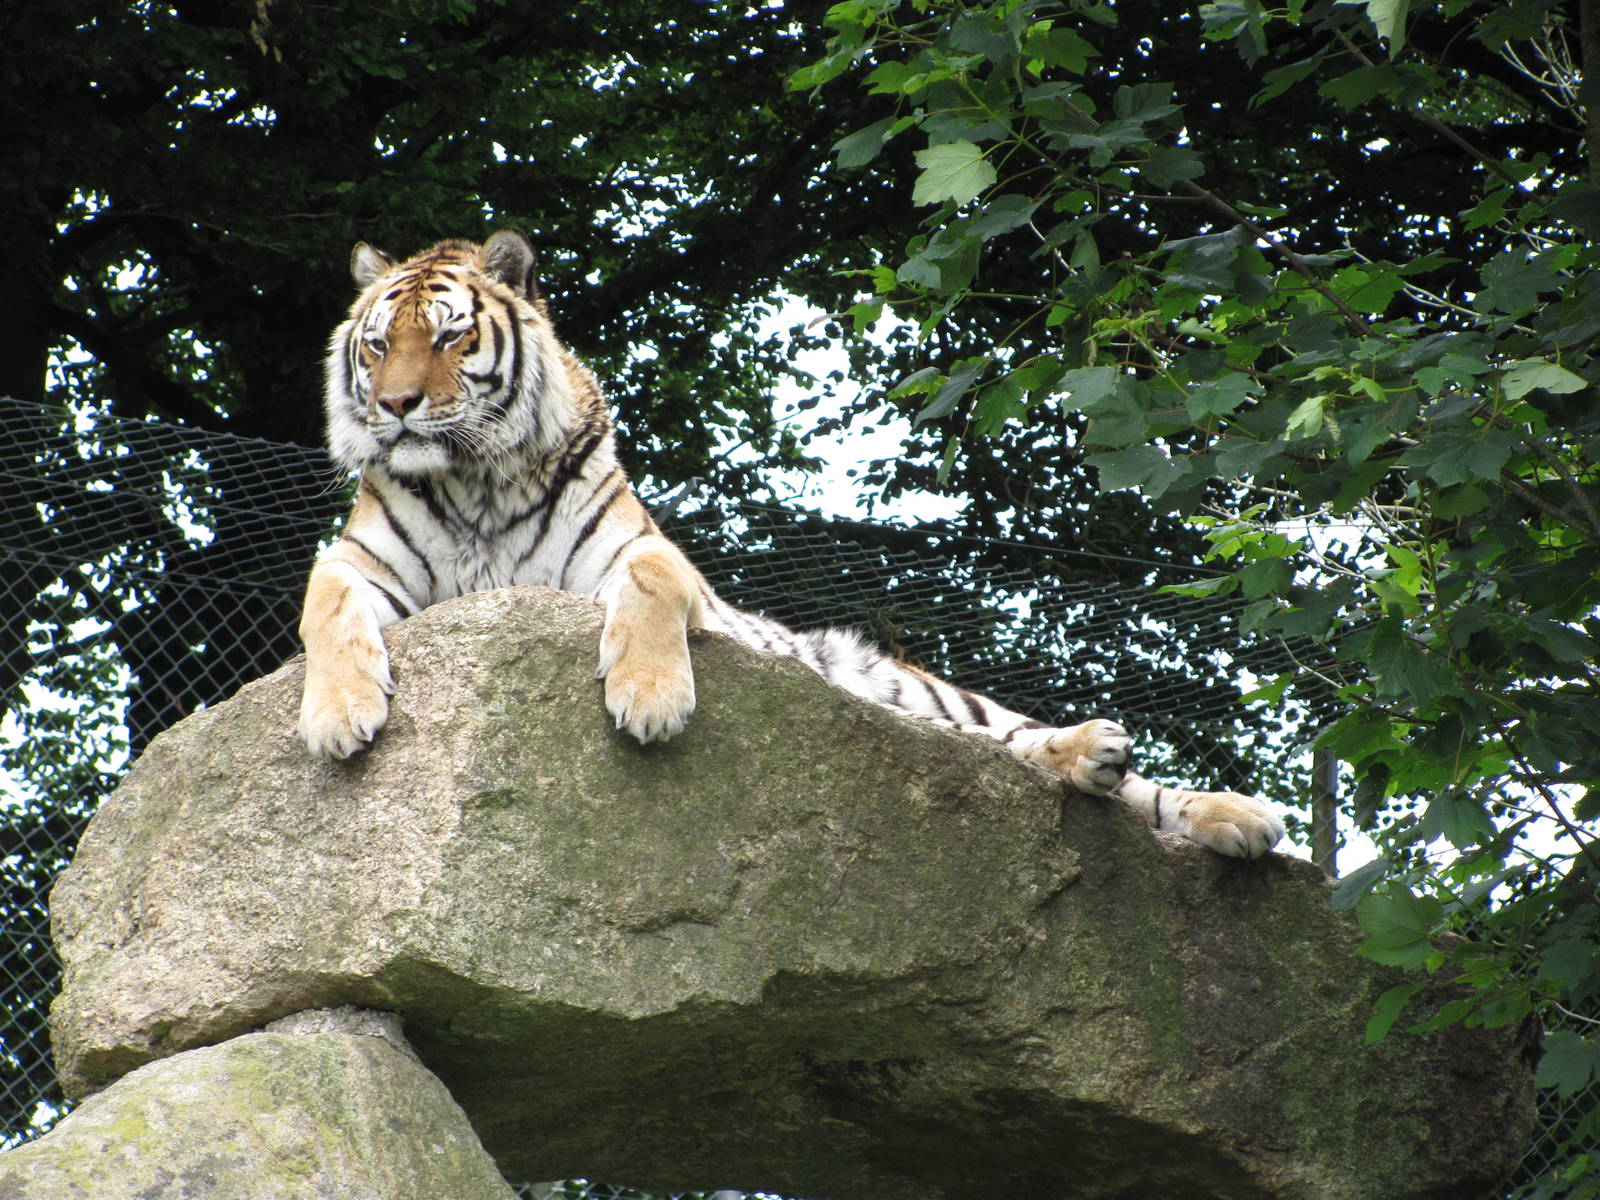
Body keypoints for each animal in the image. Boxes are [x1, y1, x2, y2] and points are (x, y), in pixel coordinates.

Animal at [298, 230, 1285, 858]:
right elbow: (325, 608)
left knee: (1051, 756)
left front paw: (649, 697)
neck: (475, 479)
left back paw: (1223, 810)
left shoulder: (641, 558)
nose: (396, 406)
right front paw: (340, 715)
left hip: (932, 694)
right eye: (377, 346)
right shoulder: (360, 564)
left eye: (451, 337)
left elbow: (650, 583)